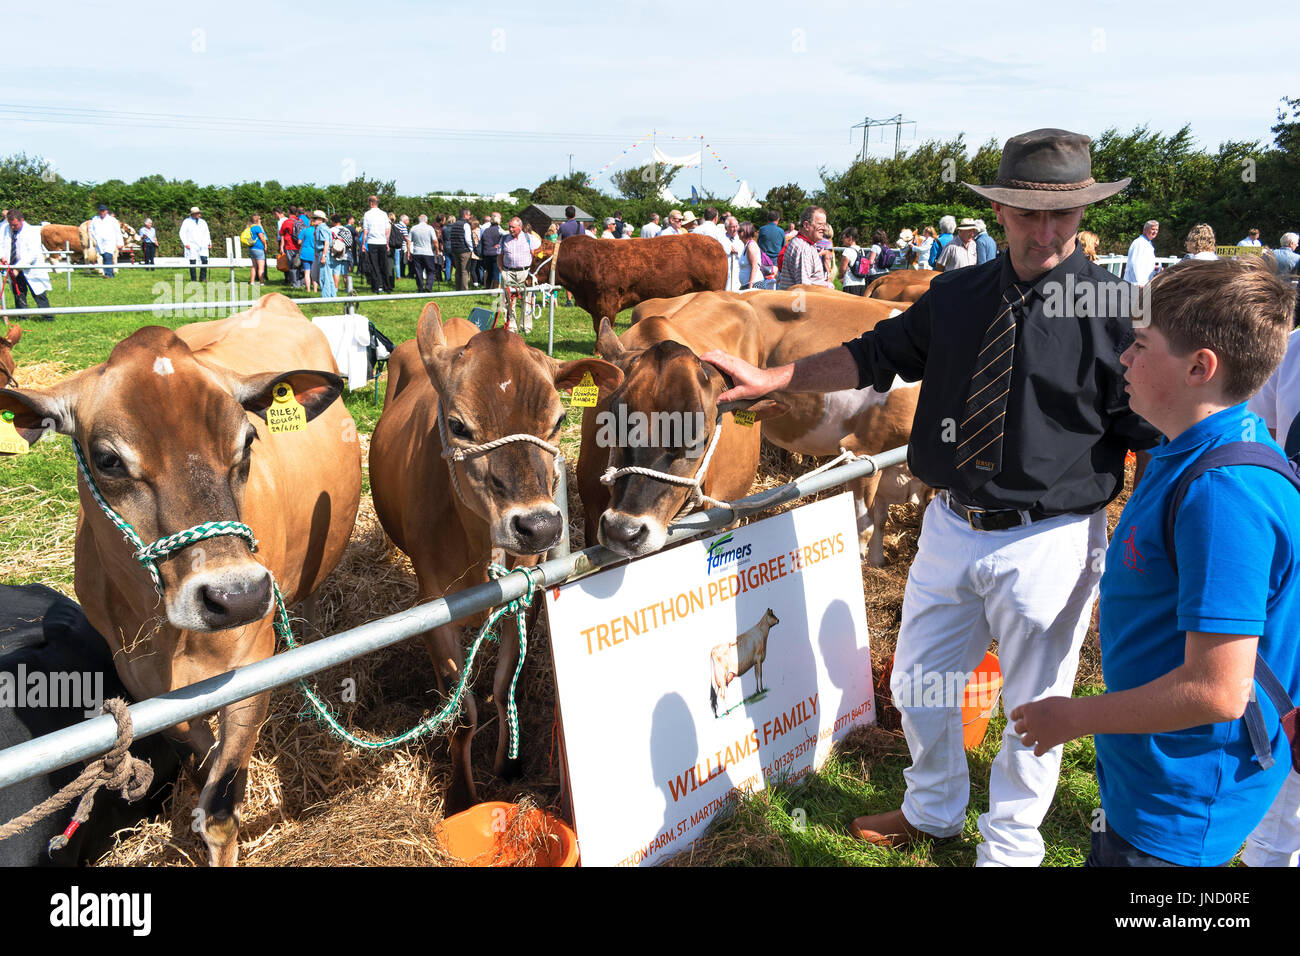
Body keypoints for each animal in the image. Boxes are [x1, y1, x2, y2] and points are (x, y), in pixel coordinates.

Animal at [0, 291, 361, 868]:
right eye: (107, 459)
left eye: (248, 440)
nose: (237, 597)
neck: (175, 638)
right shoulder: (142, 684)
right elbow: (199, 754)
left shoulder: (253, 661)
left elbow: (220, 802)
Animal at [369, 304, 621, 816]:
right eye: (459, 425)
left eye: (559, 420)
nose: (539, 526)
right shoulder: (432, 607)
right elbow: (462, 713)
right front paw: (462, 798)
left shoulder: (523, 597)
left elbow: (504, 685)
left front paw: (509, 765)